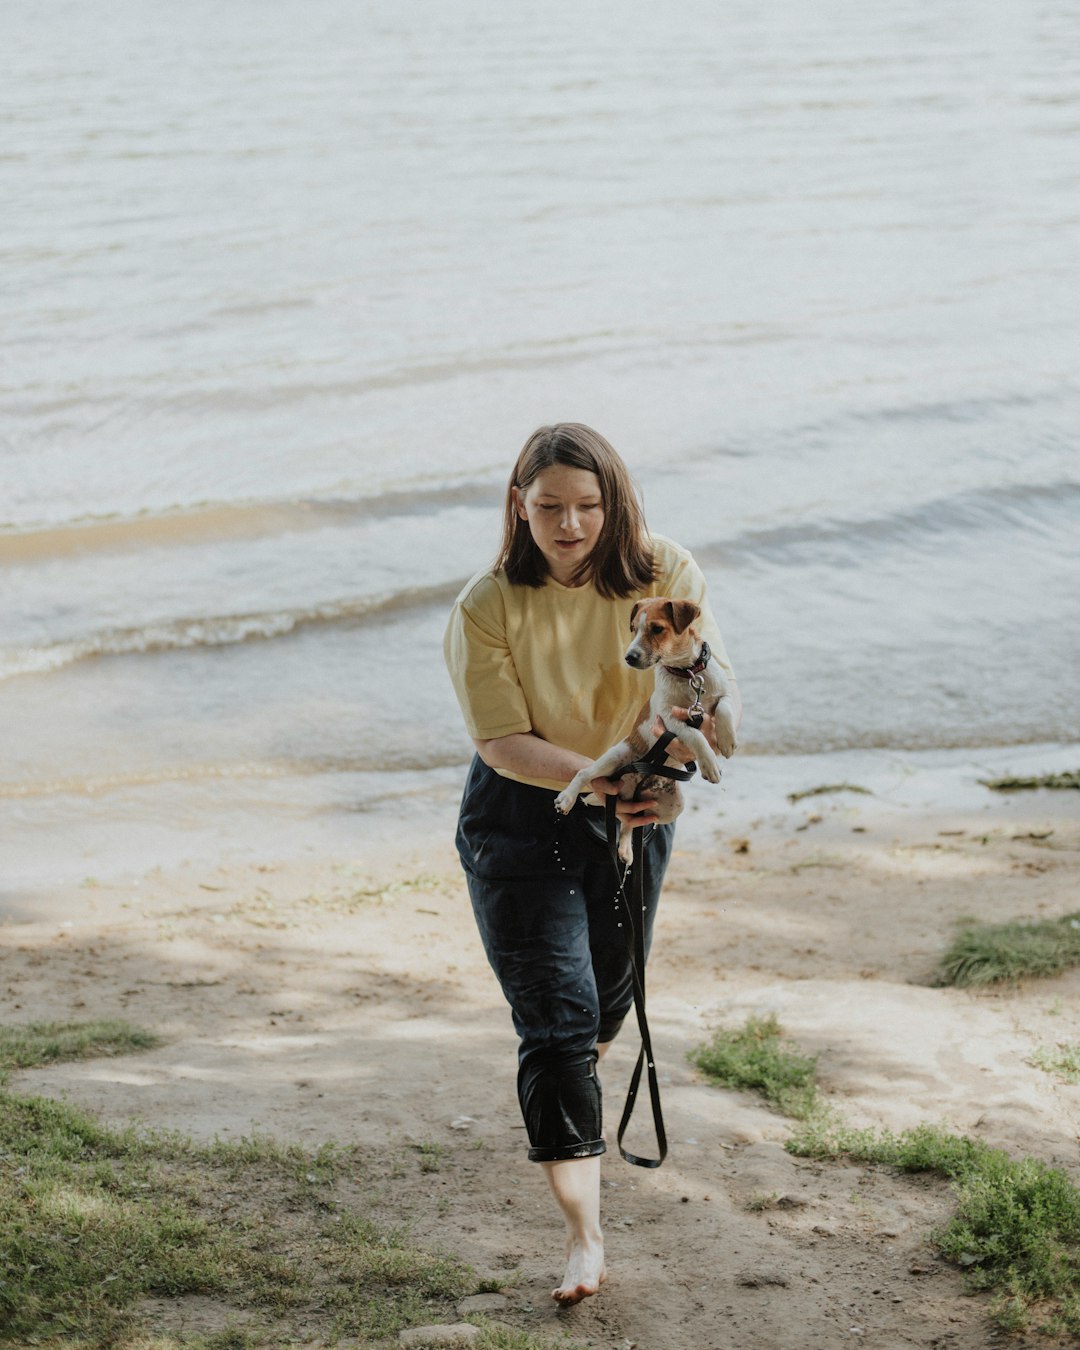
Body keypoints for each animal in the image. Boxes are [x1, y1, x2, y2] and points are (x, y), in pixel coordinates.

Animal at [556, 596, 734, 837]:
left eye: (657, 628)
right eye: (633, 628)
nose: (629, 658)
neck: (686, 673)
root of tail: (636, 785)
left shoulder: (722, 694)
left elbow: (724, 708)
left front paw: (727, 741)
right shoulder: (667, 718)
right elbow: (695, 735)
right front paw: (710, 764)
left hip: (672, 808)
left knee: (632, 823)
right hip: (615, 757)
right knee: (584, 773)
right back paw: (566, 798)